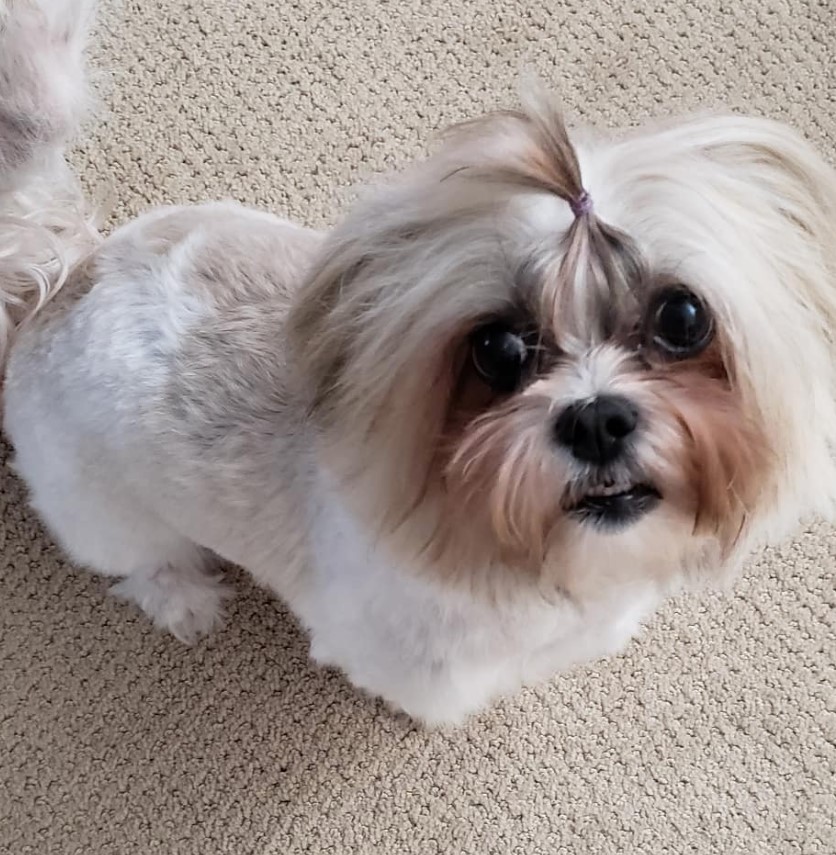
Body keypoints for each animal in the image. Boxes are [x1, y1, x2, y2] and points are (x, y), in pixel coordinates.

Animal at [1, 0, 836, 724]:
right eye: (497, 349)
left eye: (682, 318)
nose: (597, 419)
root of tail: (66, 281)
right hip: (103, 510)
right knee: (140, 561)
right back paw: (185, 598)